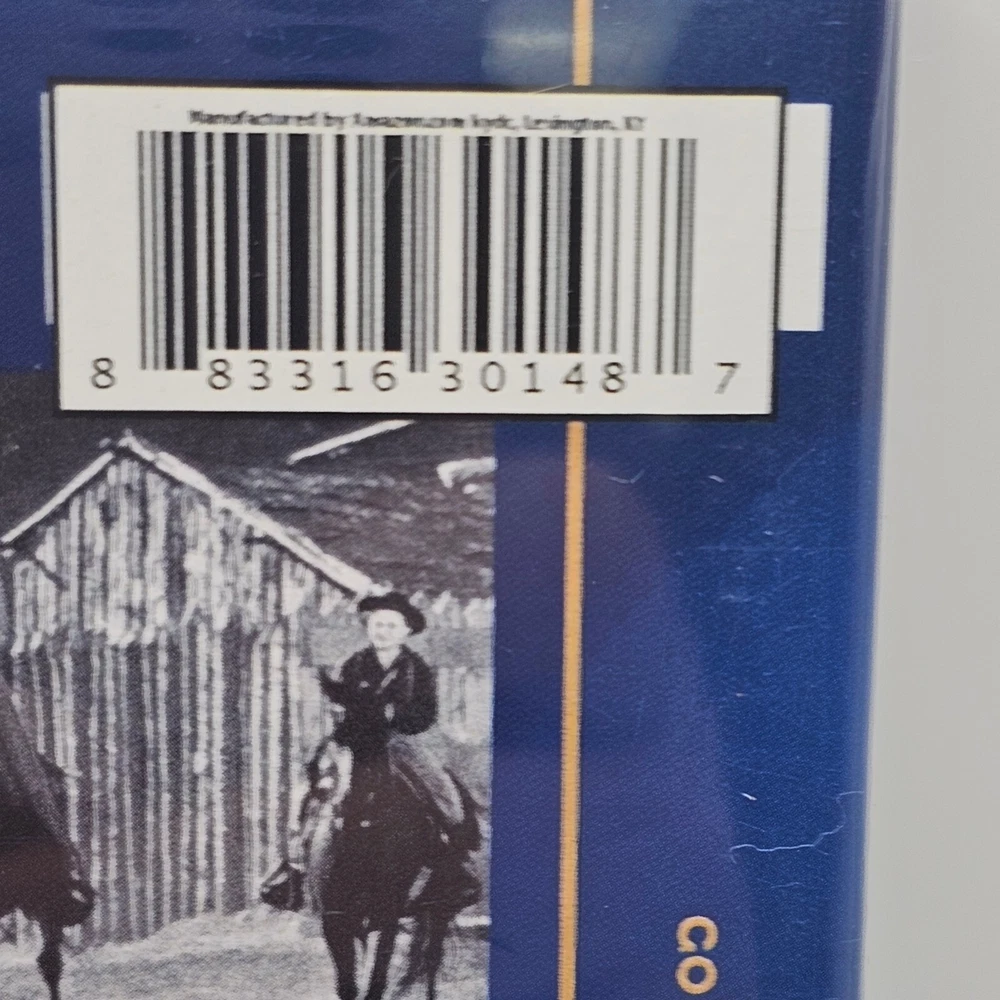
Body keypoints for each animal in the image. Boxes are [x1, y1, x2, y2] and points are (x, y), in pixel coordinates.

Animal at [305, 738, 481, 1000]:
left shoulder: (387, 919)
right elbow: (348, 986)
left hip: (439, 910)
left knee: (431, 960)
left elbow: (376, 982)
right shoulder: (334, 920)